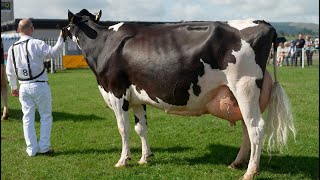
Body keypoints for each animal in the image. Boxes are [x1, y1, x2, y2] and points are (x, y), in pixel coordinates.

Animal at [65, 9, 298, 179]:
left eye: (67, 26)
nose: (63, 33)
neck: (103, 43)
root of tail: (264, 24)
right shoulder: (137, 97)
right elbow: (141, 128)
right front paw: (145, 158)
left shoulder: (116, 92)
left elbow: (123, 129)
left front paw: (123, 160)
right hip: (242, 95)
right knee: (246, 128)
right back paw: (237, 163)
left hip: (245, 86)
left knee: (255, 127)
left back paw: (250, 171)